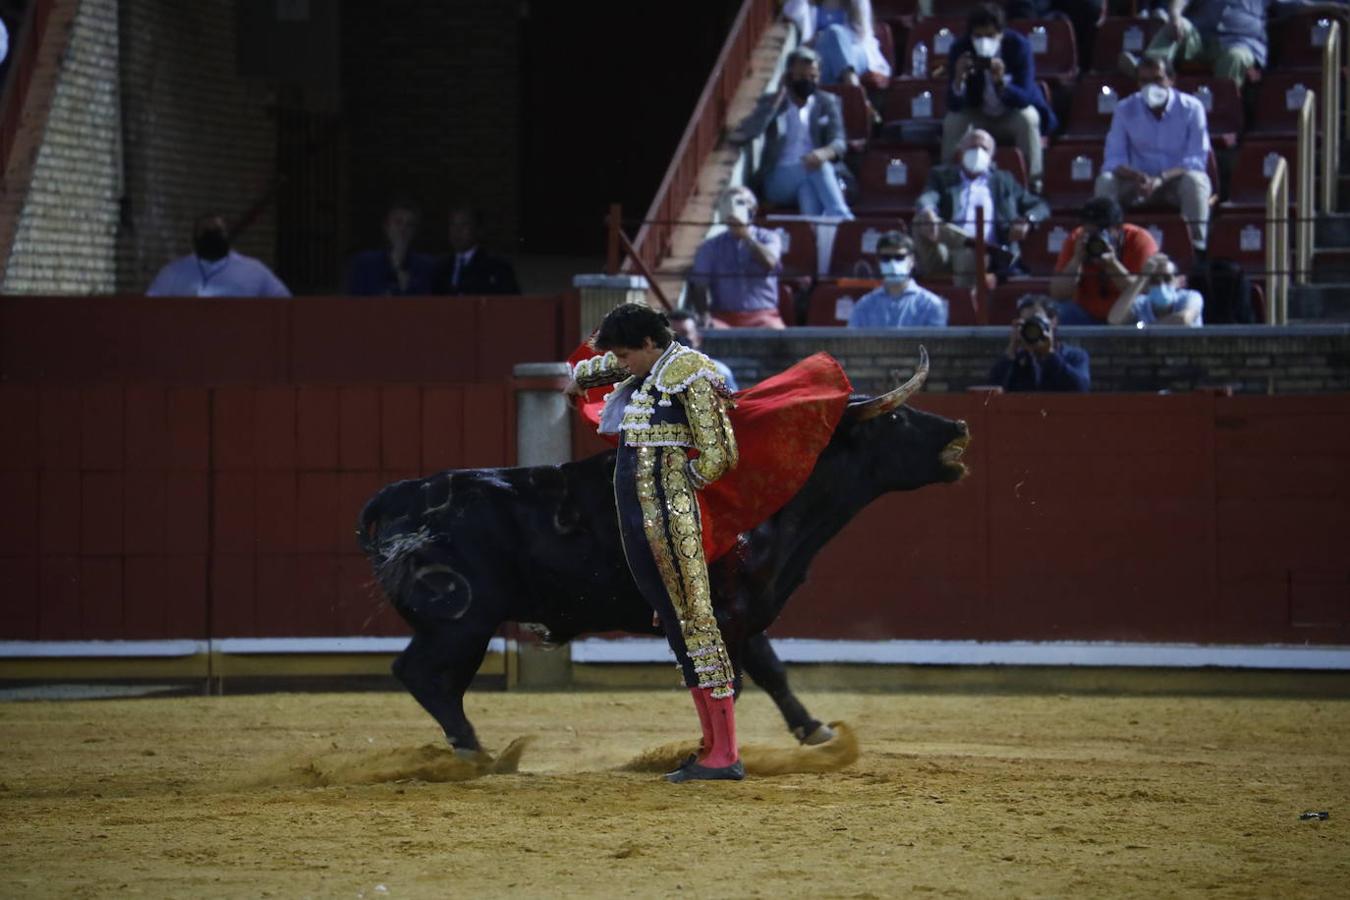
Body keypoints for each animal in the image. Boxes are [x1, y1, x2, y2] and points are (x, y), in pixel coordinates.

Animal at [359, 353, 972, 755]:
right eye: (897, 417)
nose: (959, 426)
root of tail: (400, 495)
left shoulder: (746, 612)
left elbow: (770, 671)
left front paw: (812, 728)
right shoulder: (726, 610)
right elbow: (735, 679)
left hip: (461, 625)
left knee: (432, 679)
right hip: (461, 621)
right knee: (423, 675)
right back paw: (475, 751)